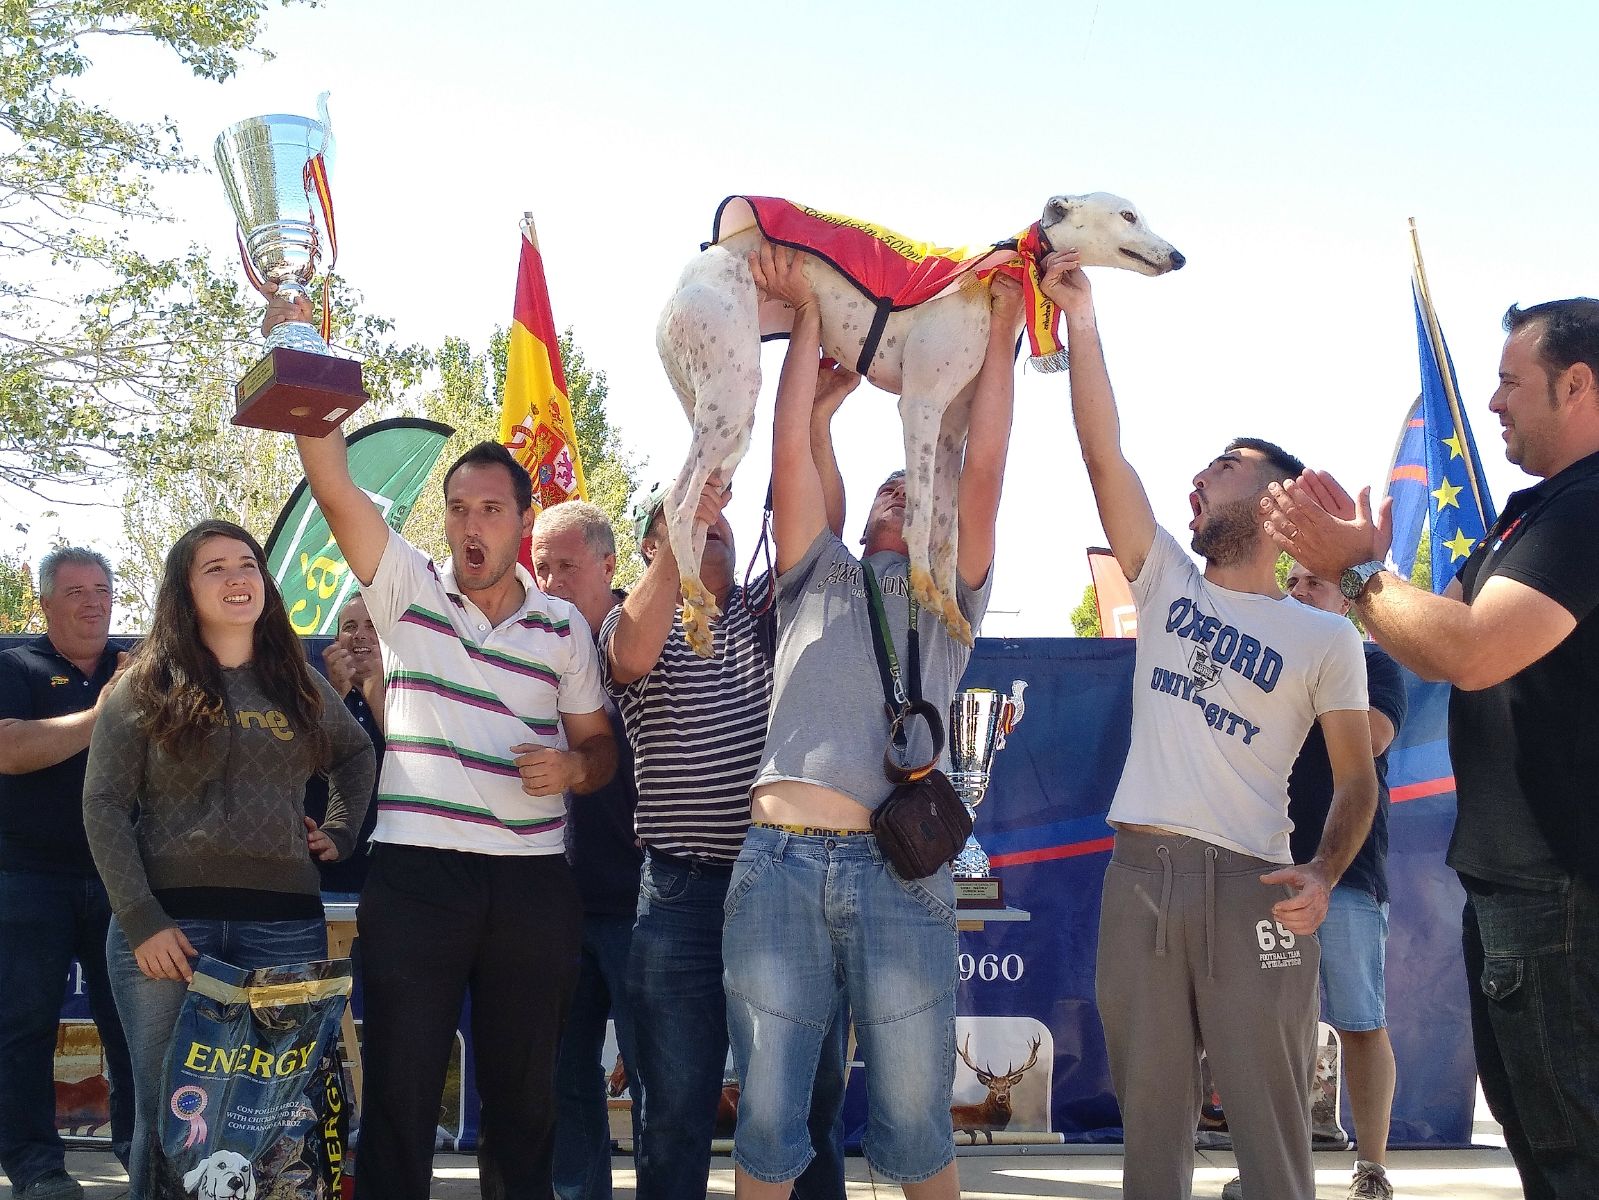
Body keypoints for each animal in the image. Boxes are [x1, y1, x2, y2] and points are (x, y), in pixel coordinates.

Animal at [652, 191, 1189, 652]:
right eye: (1128, 215)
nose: (1179, 257)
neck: (994, 276)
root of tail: (690, 273)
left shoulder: (954, 429)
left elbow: (948, 529)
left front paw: (950, 609)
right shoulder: (920, 405)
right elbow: (923, 512)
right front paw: (924, 585)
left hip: (728, 424)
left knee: (697, 513)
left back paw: (697, 614)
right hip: (734, 396)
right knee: (678, 504)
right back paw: (695, 592)